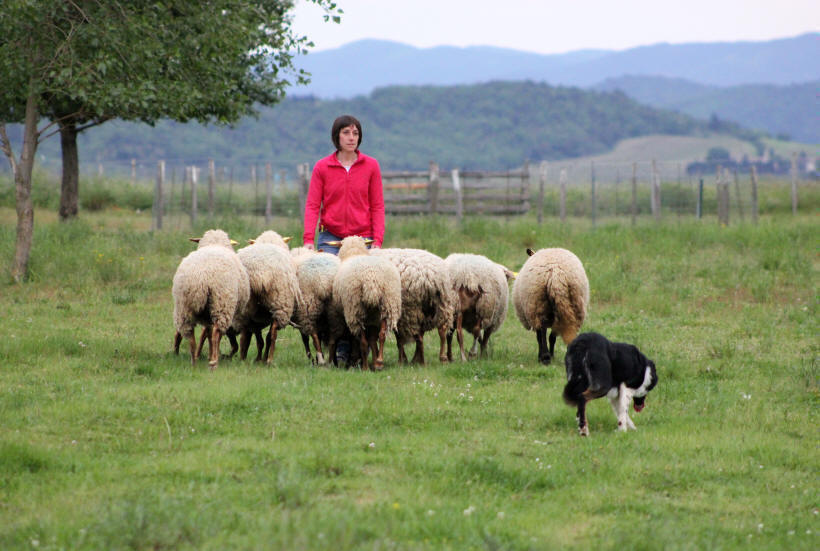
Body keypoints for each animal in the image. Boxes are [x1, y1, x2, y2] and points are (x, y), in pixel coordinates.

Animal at [171, 229, 248, 370]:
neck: (214, 243)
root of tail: (202, 278)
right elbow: (211, 334)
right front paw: (211, 355)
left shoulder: (206, 316)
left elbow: (206, 332)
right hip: (221, 304)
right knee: (216, 333)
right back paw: (214, 362)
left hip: (183, 306)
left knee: (190, 335)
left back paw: (194, 362)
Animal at [330, 236, 400, 370]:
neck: (354, 253)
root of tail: (371, 280)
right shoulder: (372, 319)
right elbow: (373, 340)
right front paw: (375, 360)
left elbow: (362, 341)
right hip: (387, 305)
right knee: (382, 335)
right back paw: (379, 362)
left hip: (355, 309)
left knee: (362, 342)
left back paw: (365, 367)